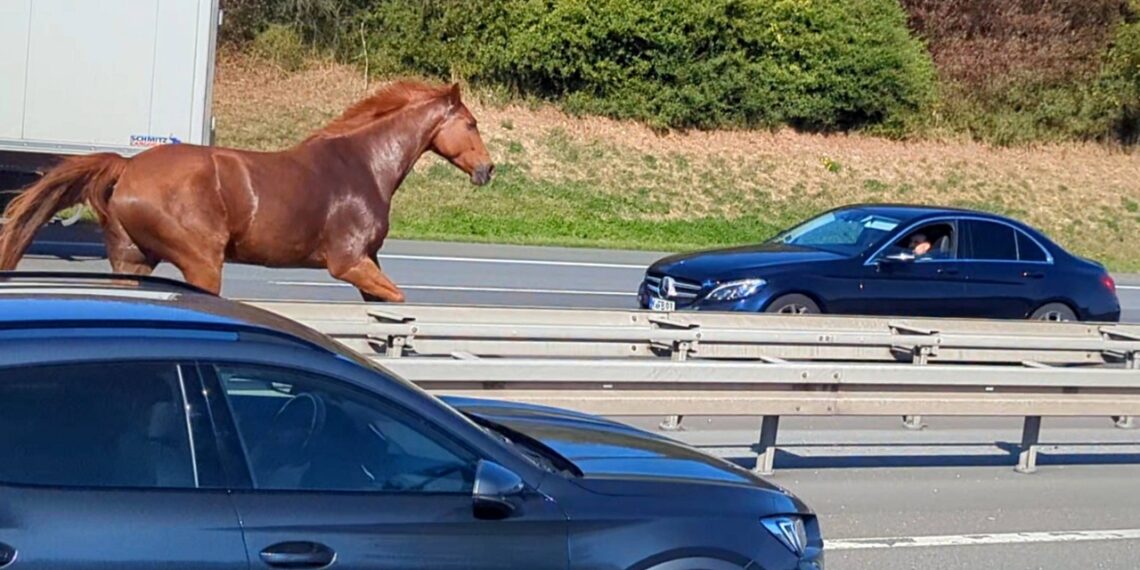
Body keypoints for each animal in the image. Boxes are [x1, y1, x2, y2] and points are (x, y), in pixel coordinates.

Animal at [0, 80, 494, 302]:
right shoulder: (349, 263)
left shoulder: (368, 263)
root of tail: (128, 167)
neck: (365, 166)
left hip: (132, 260)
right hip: (201, 262)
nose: (487, 169)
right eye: (471, 124)